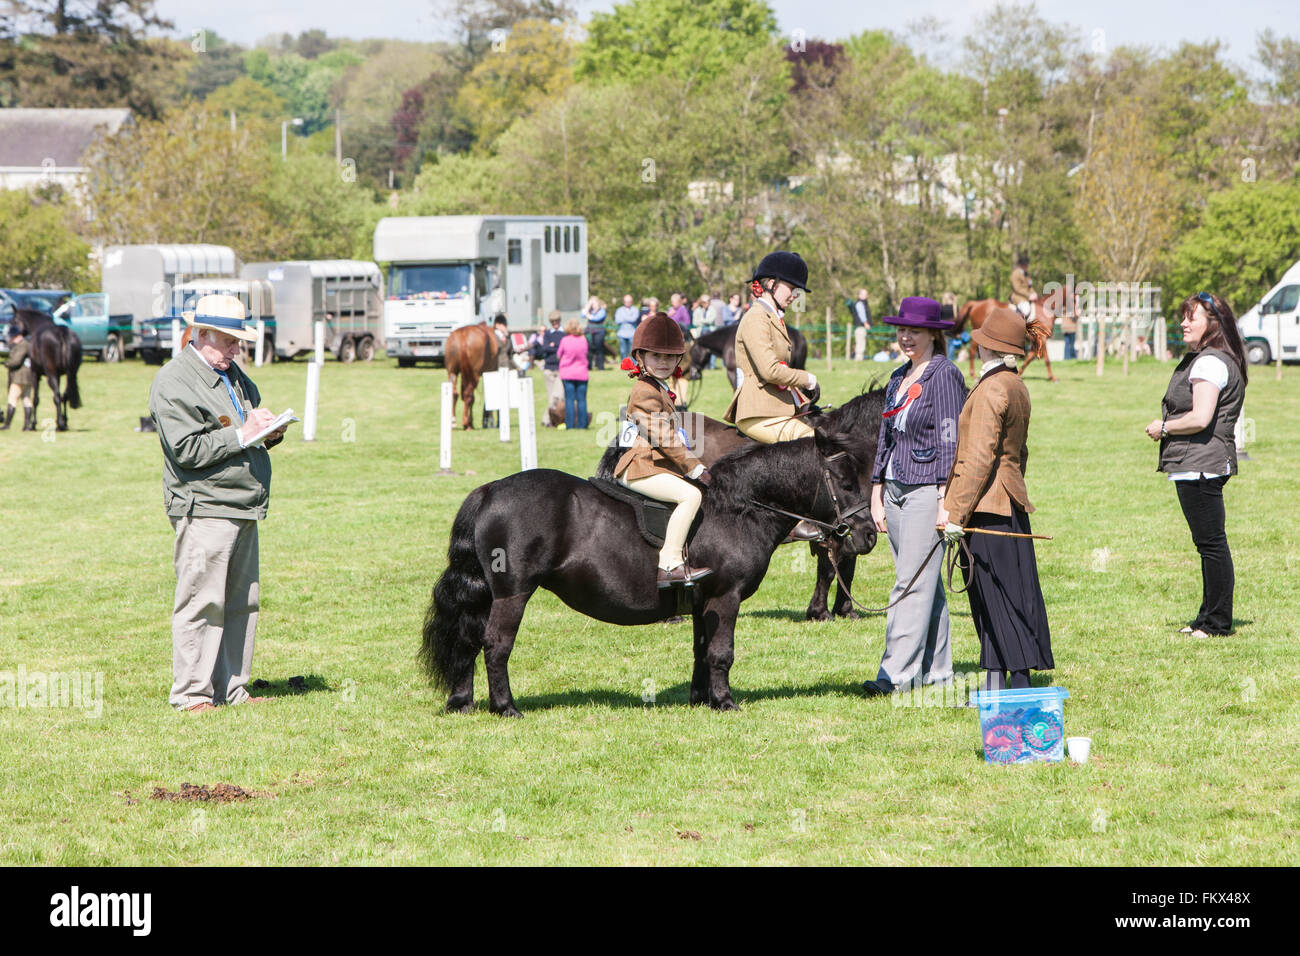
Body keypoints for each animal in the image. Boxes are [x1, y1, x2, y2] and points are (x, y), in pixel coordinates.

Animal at [421, 421, 878, 712]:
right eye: (845, 481)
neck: (739, 508)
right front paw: (725, 702)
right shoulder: (725, 597)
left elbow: (701, 649)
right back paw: (506, 707)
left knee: (466, 639)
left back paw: (462, 702)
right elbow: (722, 652)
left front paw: (701, 700)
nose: (869, 535)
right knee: (495, 644)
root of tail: (489, 490)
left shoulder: (703, 602)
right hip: (512, 593)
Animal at [595, 387, 889, 621]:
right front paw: (823, 611)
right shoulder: (835, 526)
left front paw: (841, 609)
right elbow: (833, 568)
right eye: (845, 482)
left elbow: (845, 567)